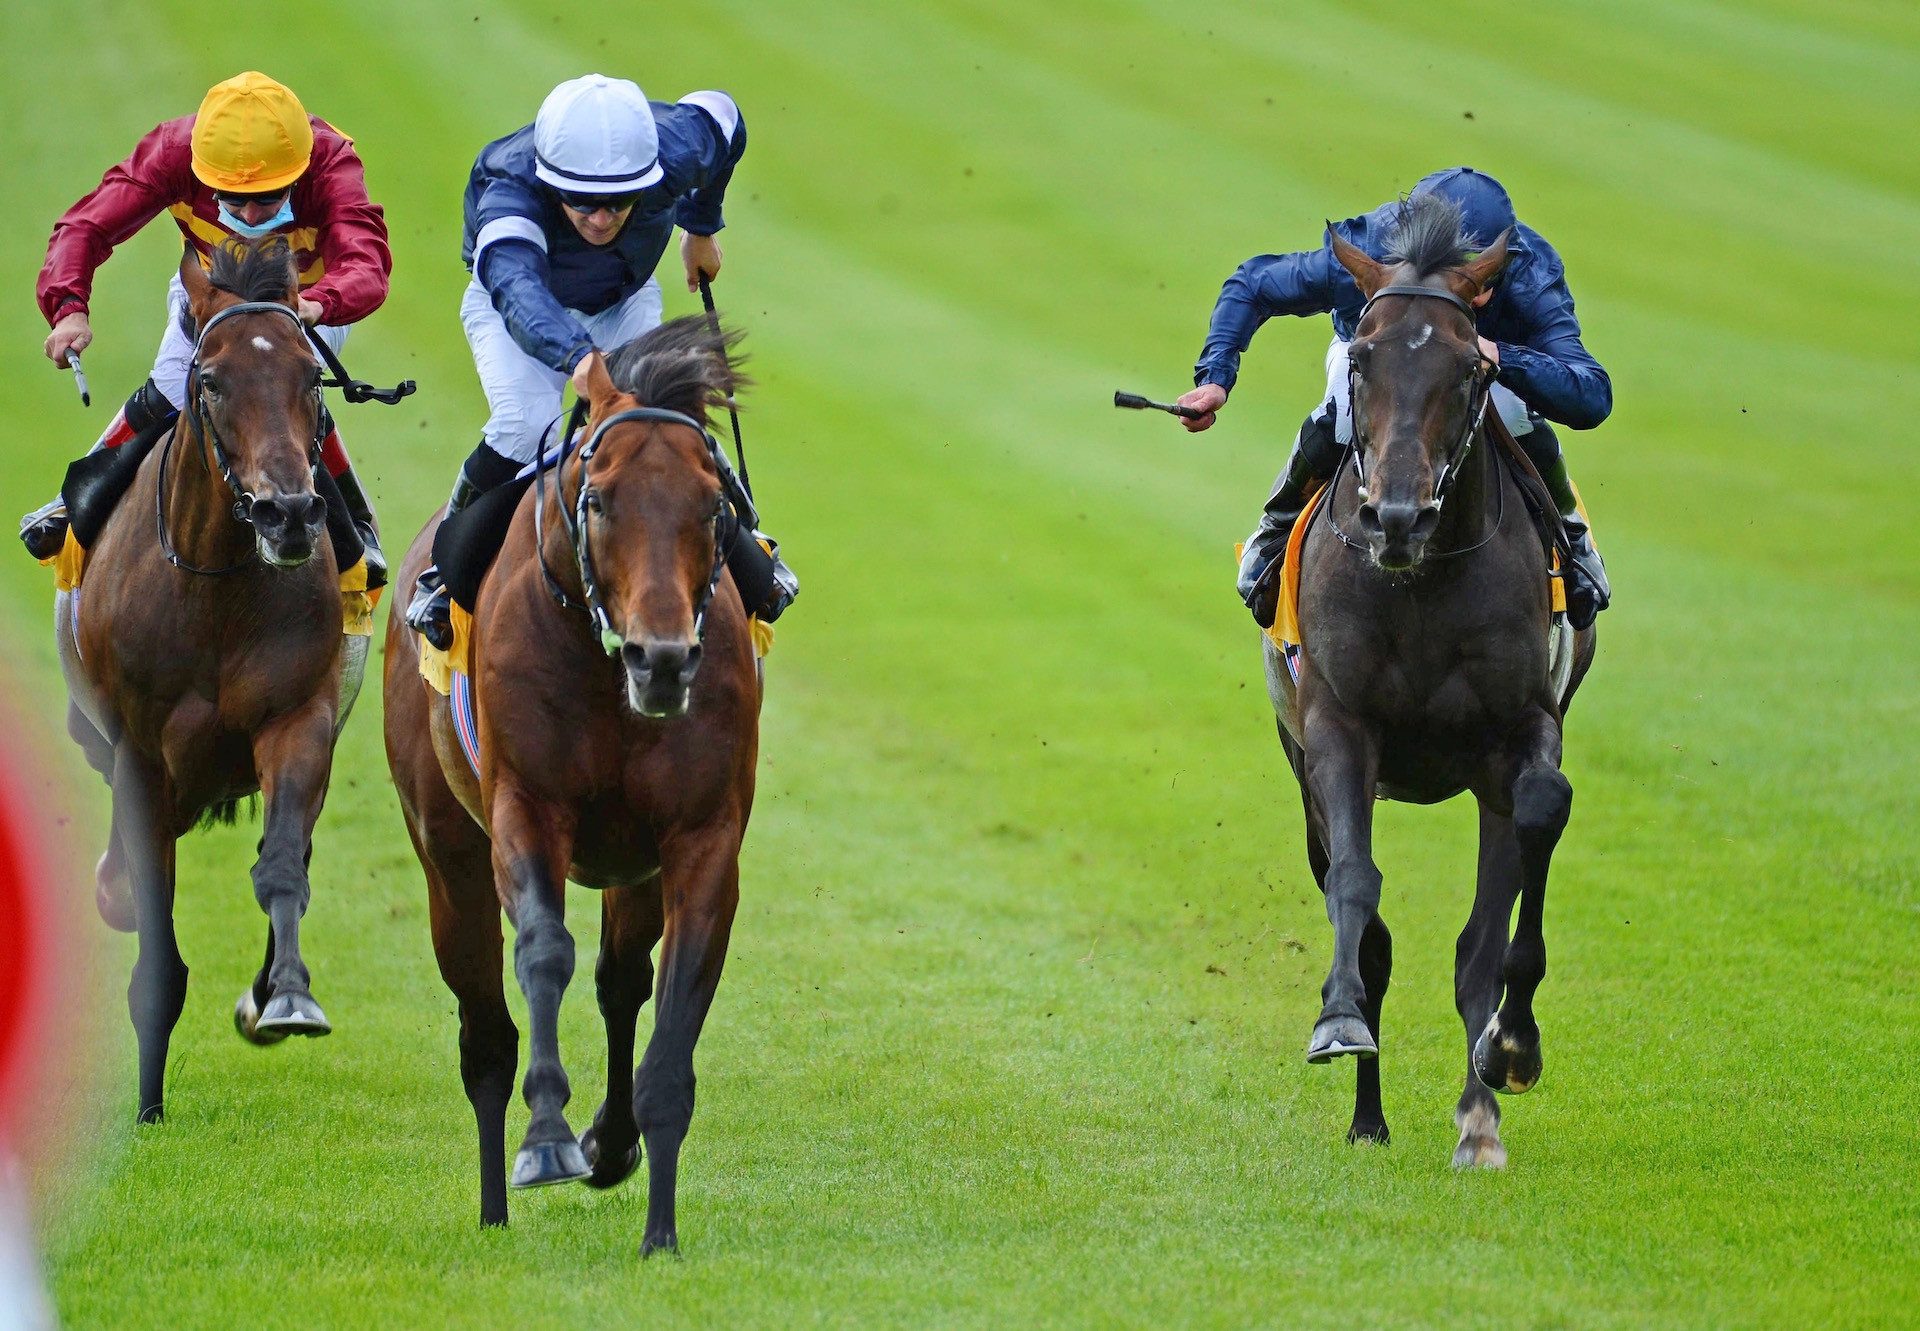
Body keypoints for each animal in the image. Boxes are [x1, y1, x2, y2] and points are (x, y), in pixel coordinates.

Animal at [57, 241, 360, 1121]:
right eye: (214, 379)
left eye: (310, 374)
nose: (288, 513)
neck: (215, 586)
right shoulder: (139, 755)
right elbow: (153, 927)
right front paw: (149, 1106)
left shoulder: (298, 719)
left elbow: (283, 862)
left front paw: (284, 996)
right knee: (128, 876)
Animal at [378, 316, 760, 1252]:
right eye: (597, 500)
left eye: (715, 504)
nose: (663, 661)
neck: (600, 664)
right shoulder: (526, 808)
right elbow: (544, 948)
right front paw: (546, 1139)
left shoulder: (700, 839)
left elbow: (671, 1013)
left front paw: (658, 1228)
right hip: (447, 851)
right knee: (485, 1028)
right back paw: (492, 1205)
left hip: (633, 865)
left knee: (622, 980)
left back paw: (612, 1144)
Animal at [1267, 194, 1597, 1160]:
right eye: (1363, 357)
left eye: (1468, 368)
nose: (1397, 517)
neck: (1420, 582)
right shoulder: (1336, 726)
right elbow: (1356, 886)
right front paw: (1337, 1017)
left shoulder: (1520, 730)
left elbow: (1536, 826)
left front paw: (1512, 1049)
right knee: (1367, 925)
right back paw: (1368, 1116)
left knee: (1477, 944)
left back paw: (1479, 1111)